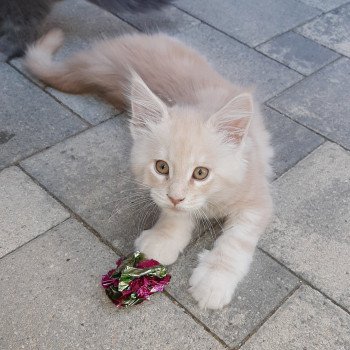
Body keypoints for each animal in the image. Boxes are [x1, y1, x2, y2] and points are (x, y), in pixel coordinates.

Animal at [25, 30, 274, 308]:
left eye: (201, 173)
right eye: (162, 167)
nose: (176, 197)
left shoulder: (258, 200)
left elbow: (235, 241)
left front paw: (214, 281)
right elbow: (174, 215)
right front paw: (163, 239)